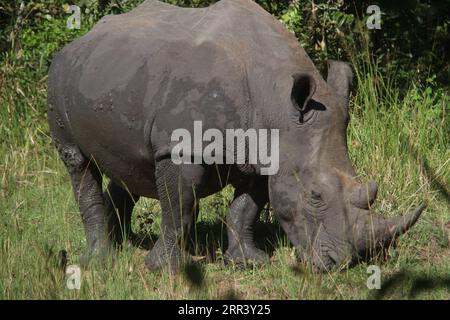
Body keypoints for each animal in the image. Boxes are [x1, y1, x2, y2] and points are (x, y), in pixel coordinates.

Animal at [47, 0, 424, 272]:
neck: (277, 105)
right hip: (59, 77)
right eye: (315, 195)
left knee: (128, 166)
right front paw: (164, 270)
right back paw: (98, 261)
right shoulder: (181, 147)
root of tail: (77, 42)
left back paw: (124, 243)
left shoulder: (266, 152)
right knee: (78, 163)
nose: (339, 265)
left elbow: (245, 209)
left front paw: (248, 262)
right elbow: (179, 209)